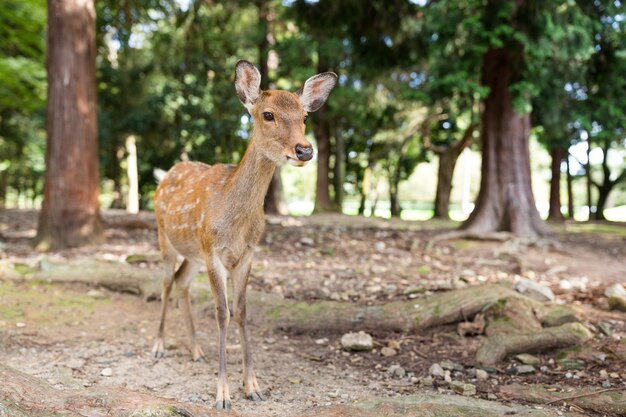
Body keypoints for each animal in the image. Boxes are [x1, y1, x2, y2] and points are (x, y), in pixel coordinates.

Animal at [152, 60, 336, 408]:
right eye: (268, 114)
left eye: (305, 117)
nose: (305, 150)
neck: (235, 222)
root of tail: (164, 174)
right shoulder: (214, 252)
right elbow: (222, 313)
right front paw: (222, 394)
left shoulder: (248, 254)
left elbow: (242, 312)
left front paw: (252, 385)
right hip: (164, 236)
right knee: (166, 282)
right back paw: (158, 346)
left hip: (194, 252)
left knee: (182, 282)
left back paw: (196, 350)